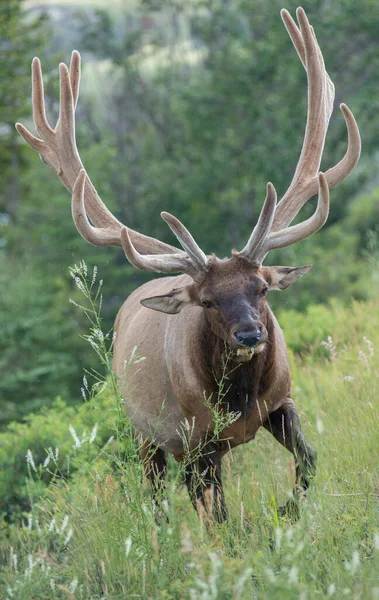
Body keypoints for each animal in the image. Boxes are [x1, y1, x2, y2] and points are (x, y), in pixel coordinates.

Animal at [17, 8, 362, 520]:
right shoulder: (196, 438)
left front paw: (286, 511)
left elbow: (309, 460)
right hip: (146, 433)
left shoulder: (282, 401)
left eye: (262, 288)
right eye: (207, 301)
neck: (240, 402)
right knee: (159, 495)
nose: (250, 335)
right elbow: (217, 516)